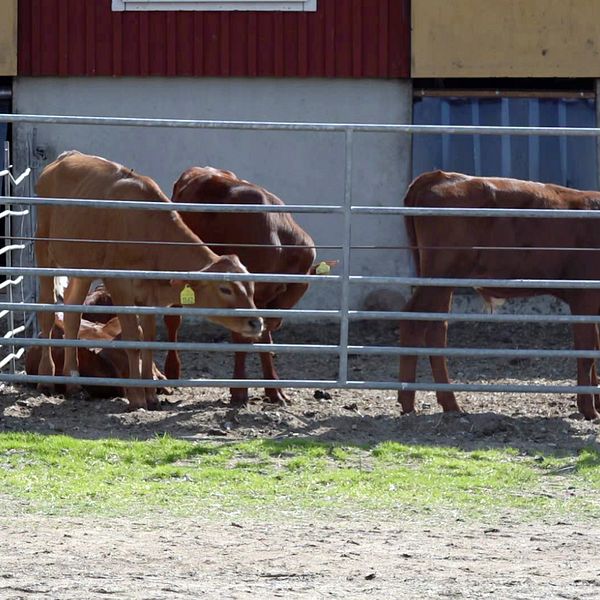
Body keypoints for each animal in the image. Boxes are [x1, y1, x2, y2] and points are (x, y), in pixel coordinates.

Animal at [35, 152, 262, 410]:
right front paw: (136, 396)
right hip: (44, 253)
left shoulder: (150, 296)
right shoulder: (120, 287)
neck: (150, 232)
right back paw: (46, 378)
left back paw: (72, 381)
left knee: (72, 315)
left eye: (251, 287)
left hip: (81, 269)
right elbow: (133, 338)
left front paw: (151, 395)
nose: (256, 323)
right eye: (225, 289)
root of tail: (65, 157)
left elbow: (149, 339)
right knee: (46, 314)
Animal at [162, 166, 316, 406]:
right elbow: (243, 339)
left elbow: (263, 339)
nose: (278, 321)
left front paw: (274, 389)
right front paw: (239, 389)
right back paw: (172, 370)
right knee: (173, 321)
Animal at [398, 171, 600, 420]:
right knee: (414, 321)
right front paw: (588, 408)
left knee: (436, 328)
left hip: (444, 281)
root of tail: (441, 176)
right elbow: (587, 351)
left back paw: (450, 403)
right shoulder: (585, 295)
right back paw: (409, 403)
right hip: (440, 273)